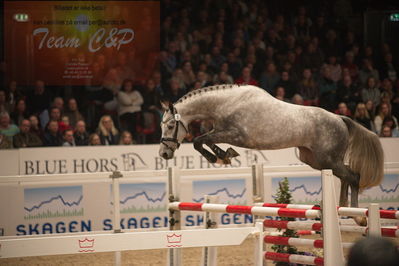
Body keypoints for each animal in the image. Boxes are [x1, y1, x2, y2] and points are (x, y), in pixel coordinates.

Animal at [159, 84, 384, 224]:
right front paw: (223, 156)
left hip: (328, 159)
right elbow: (203, 141)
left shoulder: (236, 135)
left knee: (354, 176)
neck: (227, 103)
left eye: (170, 126)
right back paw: (345, 208)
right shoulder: (223, 132)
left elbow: (201, 140)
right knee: (346, 175)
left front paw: (220, 156)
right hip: (317, 160)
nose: (163, 154)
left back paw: (358, 216)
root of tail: (340, 119)